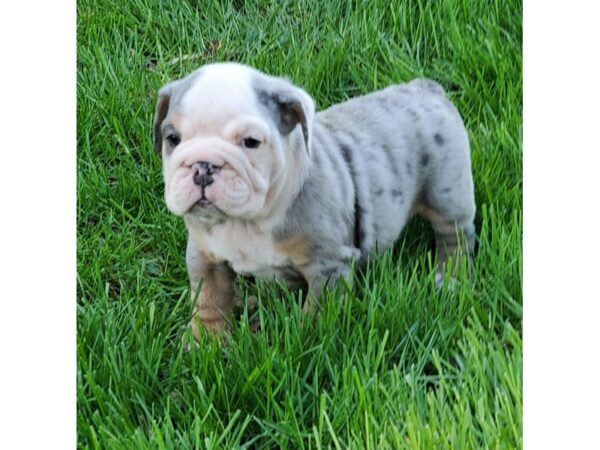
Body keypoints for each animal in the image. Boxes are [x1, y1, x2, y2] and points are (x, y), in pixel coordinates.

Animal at [152, 62, 476, 338]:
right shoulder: (204, 256)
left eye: (251, 142)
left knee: (455, 237)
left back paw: (449, 279)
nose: (203, 166)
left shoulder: (328, 266)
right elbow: (209, 300)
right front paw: (204, 343)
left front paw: (306, 339)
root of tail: (425, 89)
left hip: (447, 194)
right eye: (172, 139)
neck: (247, 222)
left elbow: (319, 312)